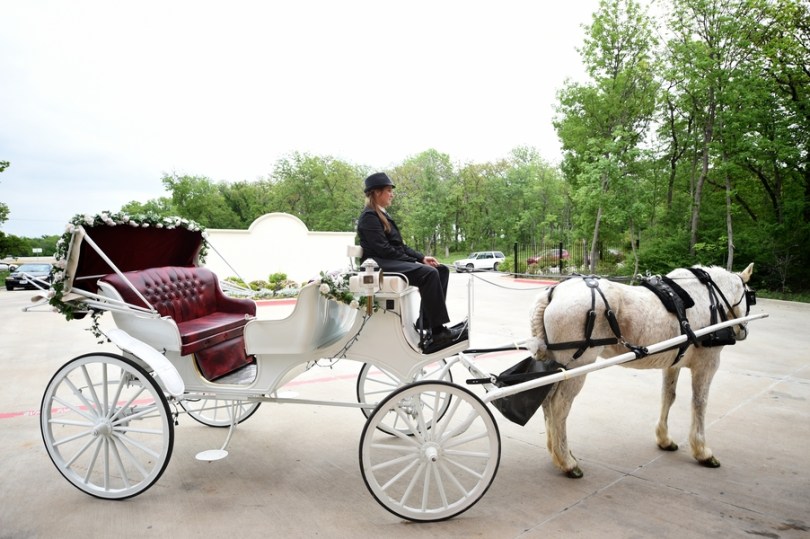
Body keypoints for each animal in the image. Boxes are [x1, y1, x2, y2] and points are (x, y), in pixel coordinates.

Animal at [528, 264, 756, 478]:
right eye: (750, 297)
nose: (743, 331)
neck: (709, 297)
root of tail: (554, 293)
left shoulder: (673, 363)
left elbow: (668, 396)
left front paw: (664, 439)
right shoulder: (707, 364)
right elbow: (700, 404)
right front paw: (703, 451)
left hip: (556, 364)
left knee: (547, 402)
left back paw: (557, 453)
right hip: (577, 366)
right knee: (559, 407)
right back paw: (567, 462)